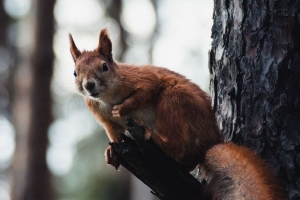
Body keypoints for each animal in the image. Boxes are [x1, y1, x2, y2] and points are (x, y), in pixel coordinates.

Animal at [68, 28, 286, 199]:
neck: (105, 97)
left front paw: (122, 108)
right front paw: (111, 151)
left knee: (178, 147)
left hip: (173, 100)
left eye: (104, 66)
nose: (89, 85)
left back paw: (157, 139)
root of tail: (212, 140)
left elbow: (147, 89)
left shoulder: (140, 79)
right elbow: (114, 133)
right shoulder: (103, 117)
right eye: (75, 72)